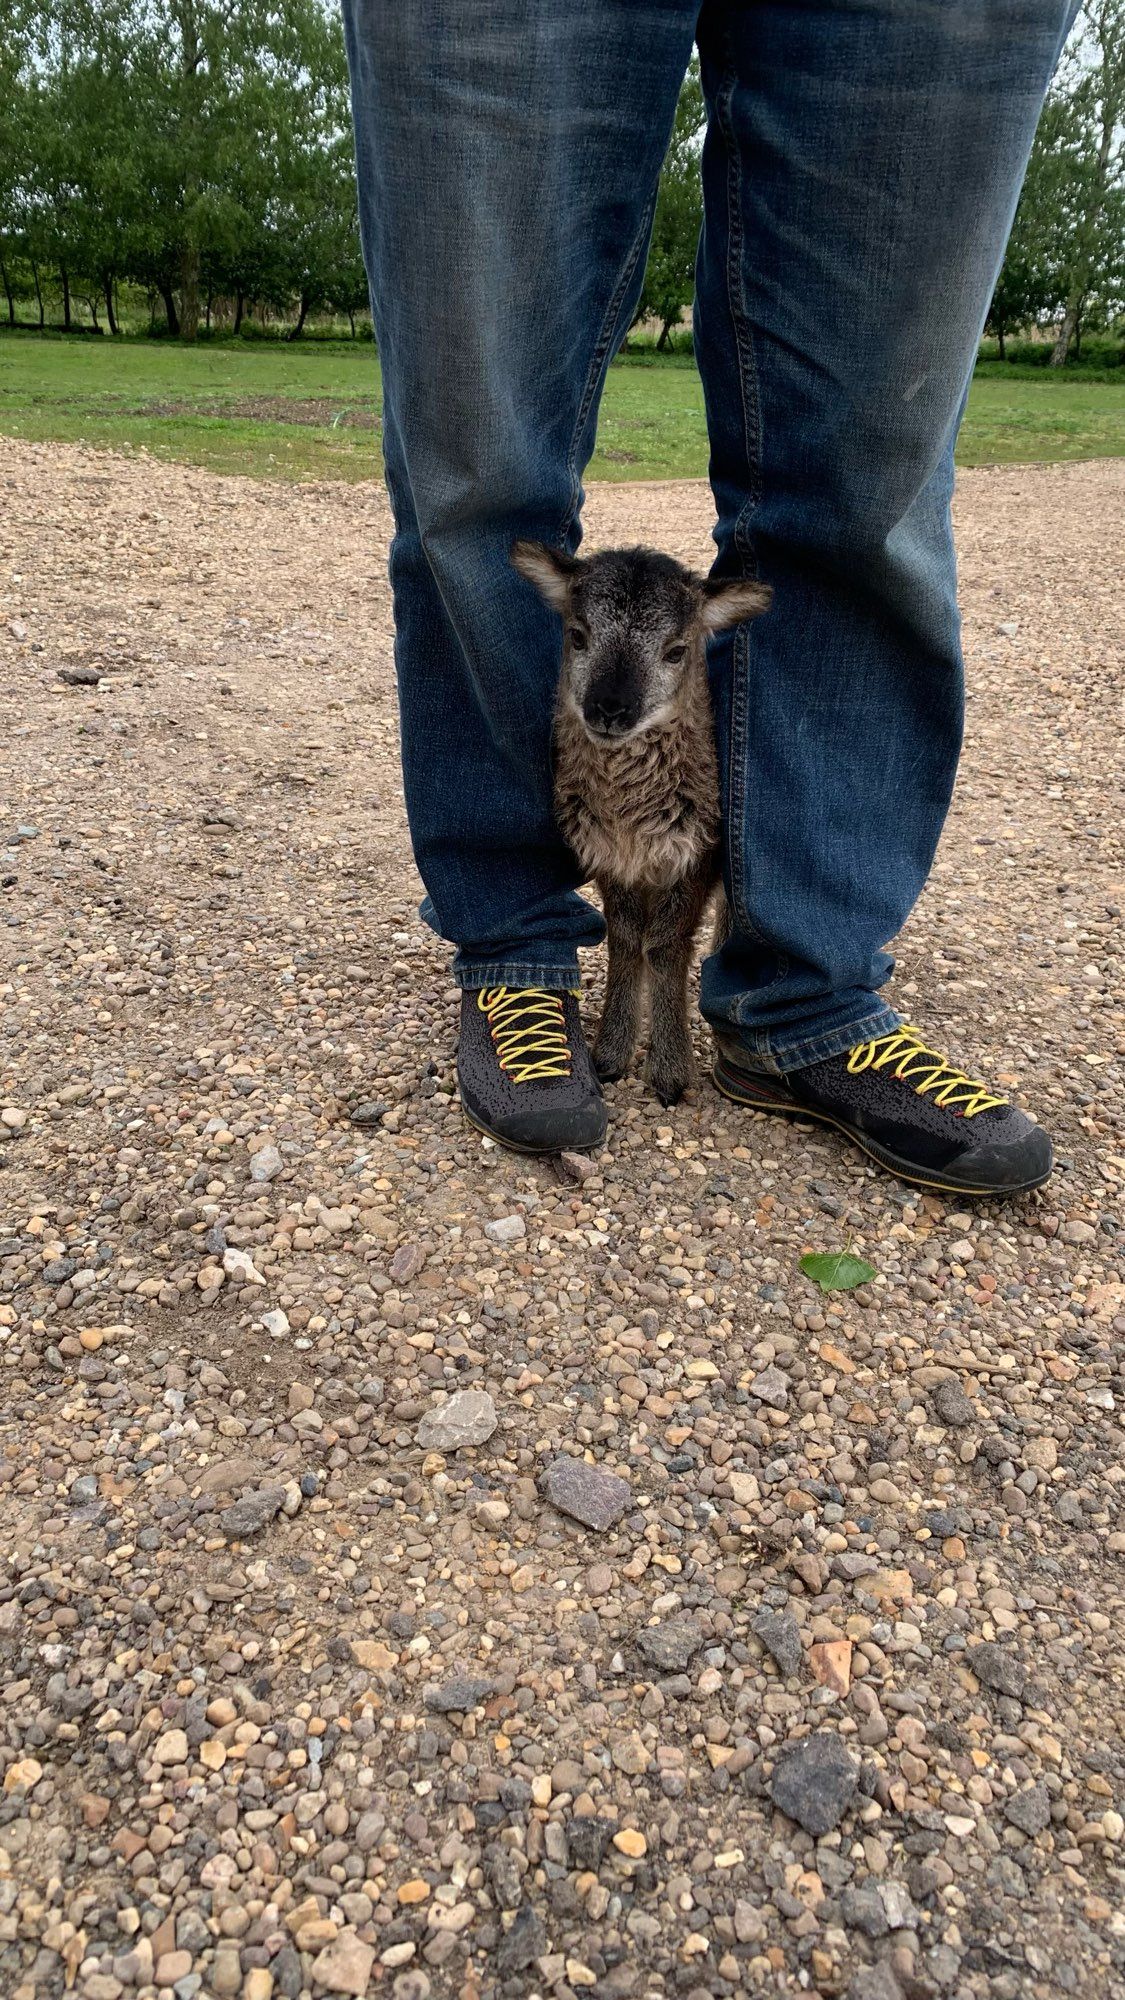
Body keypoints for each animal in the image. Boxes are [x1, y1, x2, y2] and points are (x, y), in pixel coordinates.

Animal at [510, 548, 764, 1104]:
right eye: (577, 635)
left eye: (676, 650)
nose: (609, 708)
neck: (630, 819)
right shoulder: (610, 855)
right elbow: (626, 939)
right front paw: (609, 1055)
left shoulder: (696, 850)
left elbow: (664, 944)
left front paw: (670, 1073)